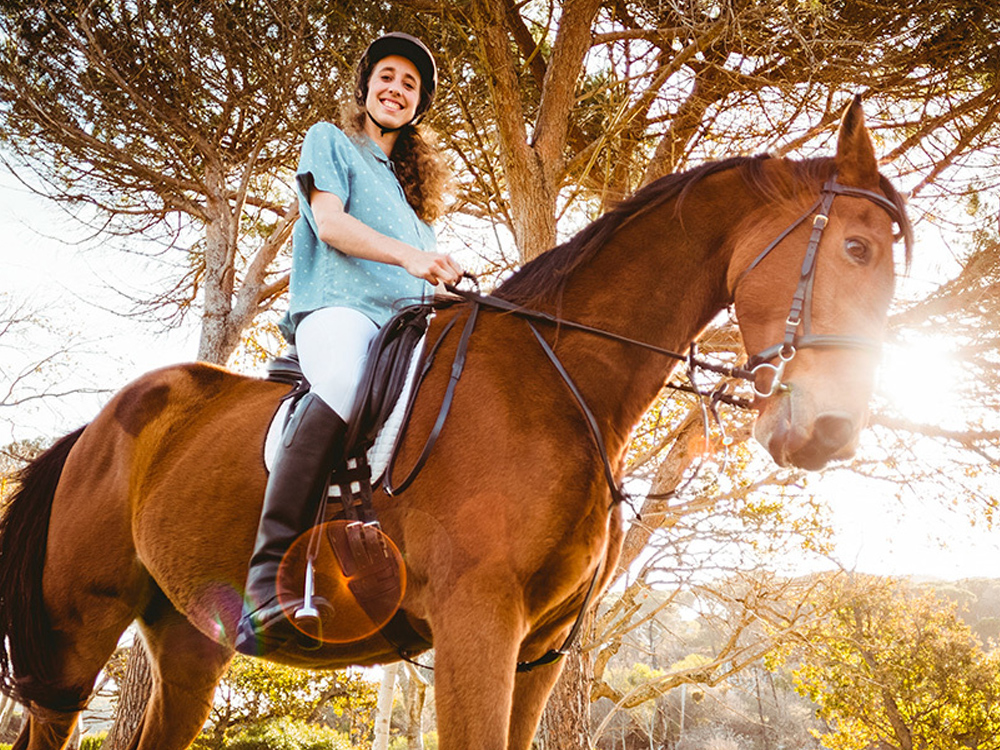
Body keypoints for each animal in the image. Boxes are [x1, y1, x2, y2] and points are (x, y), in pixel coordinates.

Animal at [0, 100, 912, 750]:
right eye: (858, 250)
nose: (830, 430)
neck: (555, 382)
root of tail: (97, 428)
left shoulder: (540, 648)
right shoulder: (480, 621)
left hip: (190, 639)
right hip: (81, 633)